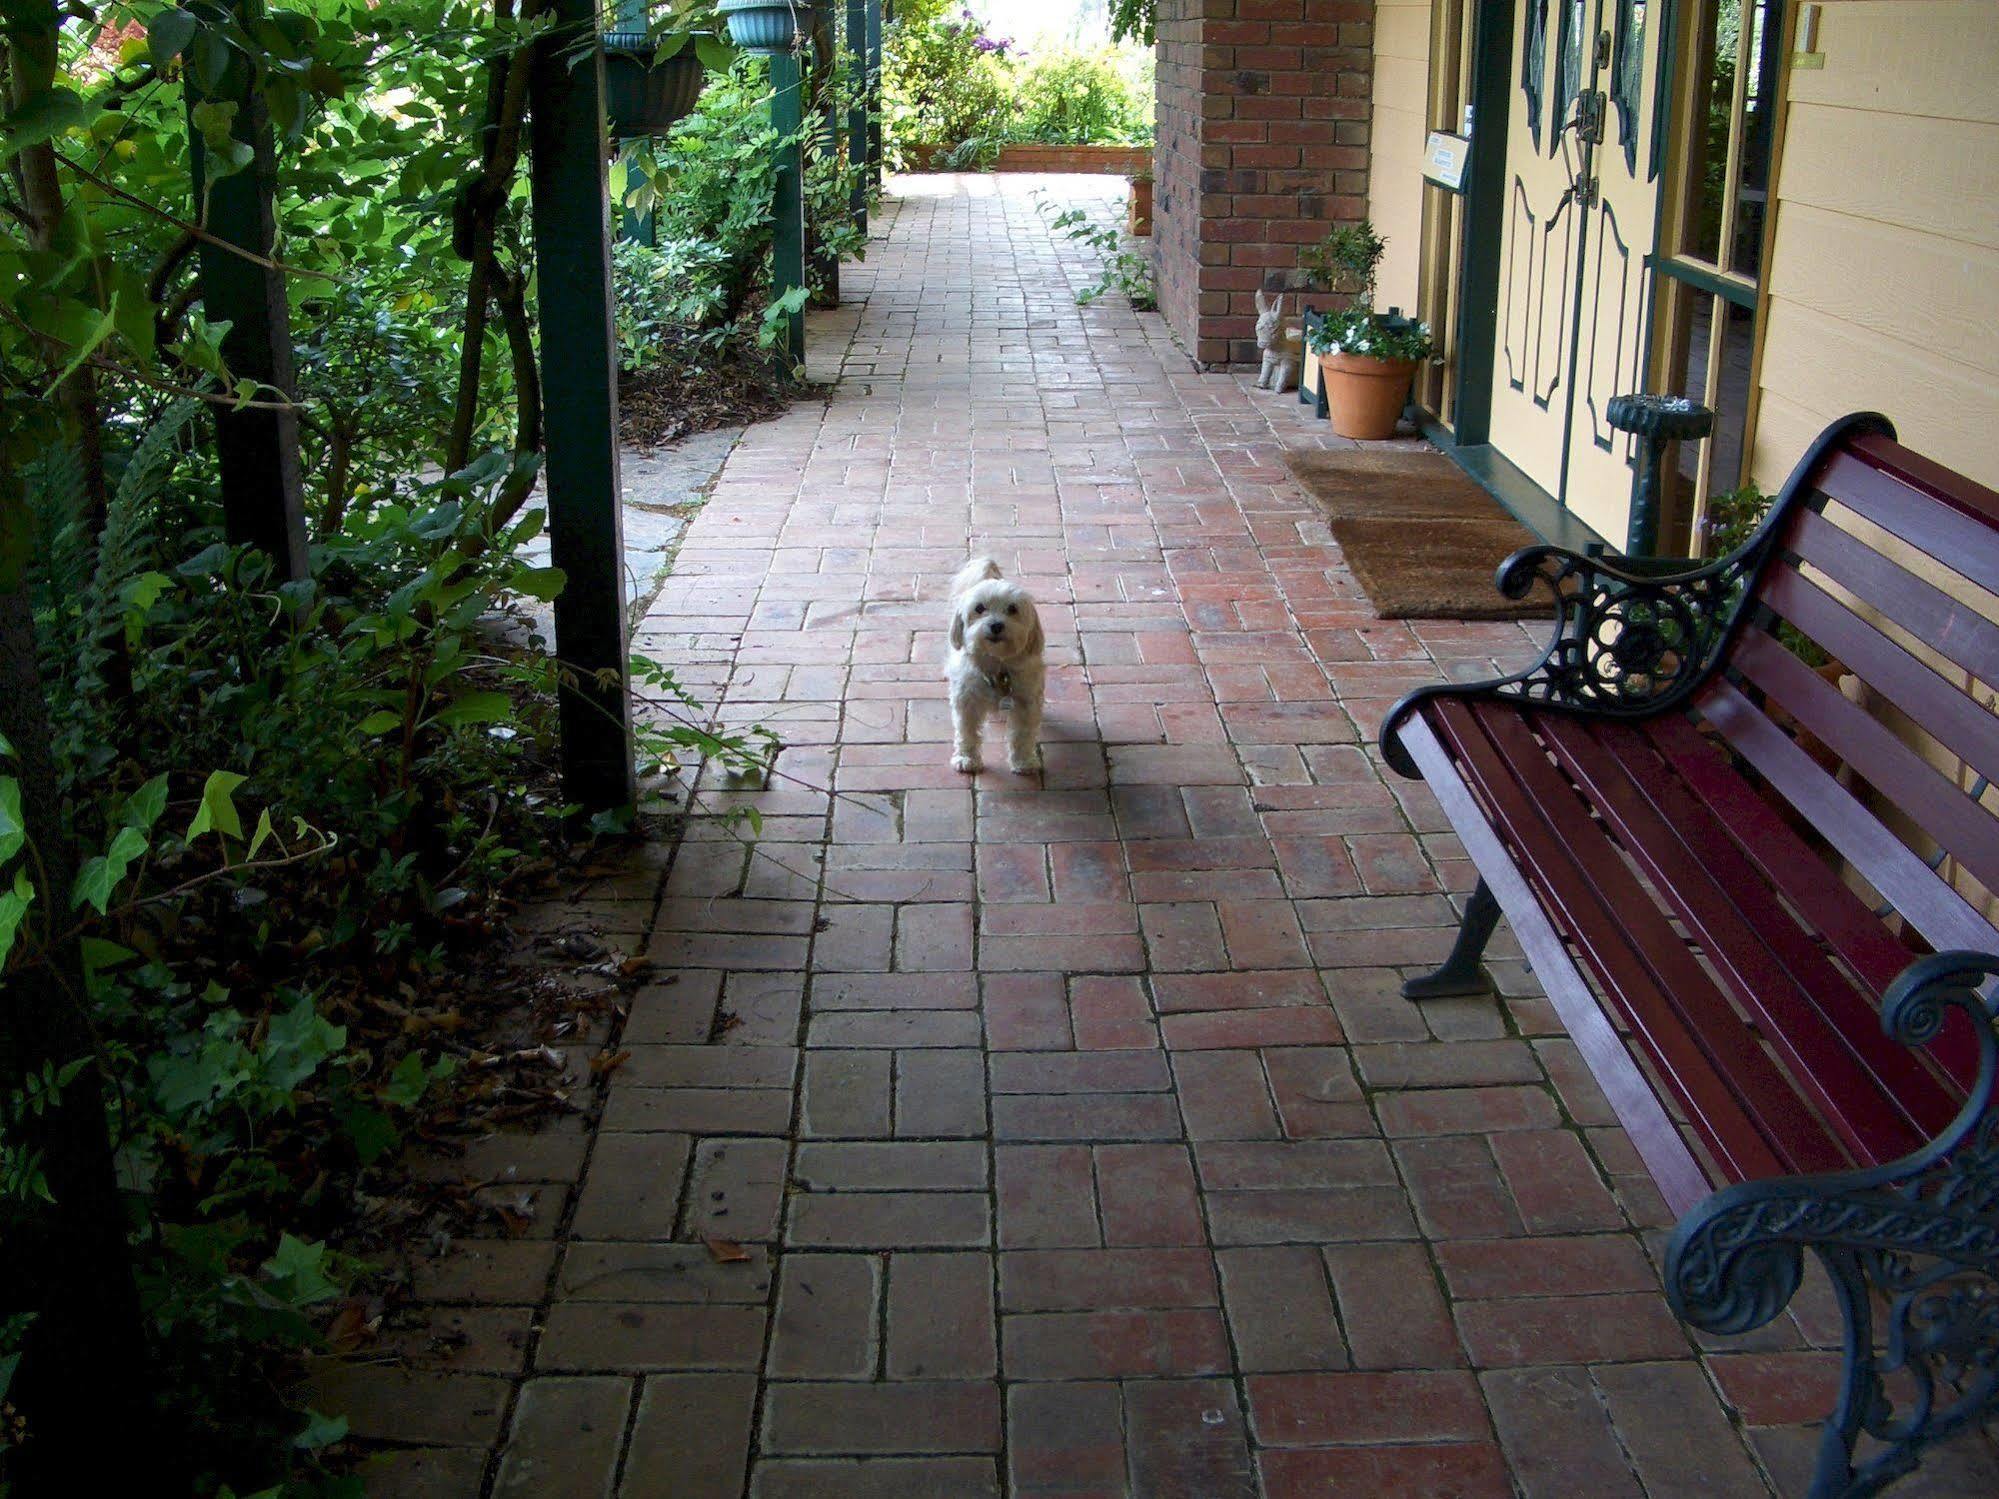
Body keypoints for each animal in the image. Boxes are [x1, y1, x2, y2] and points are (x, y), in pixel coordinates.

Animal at [947, 559, 1055, 775]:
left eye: (1012, 609)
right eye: (979, 608)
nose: (996, 625)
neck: (996, 664)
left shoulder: (1025, 701)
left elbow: (1023, 734)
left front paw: (1023, 760)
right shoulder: (966, 699)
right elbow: (966, 731)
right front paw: (966, 757)